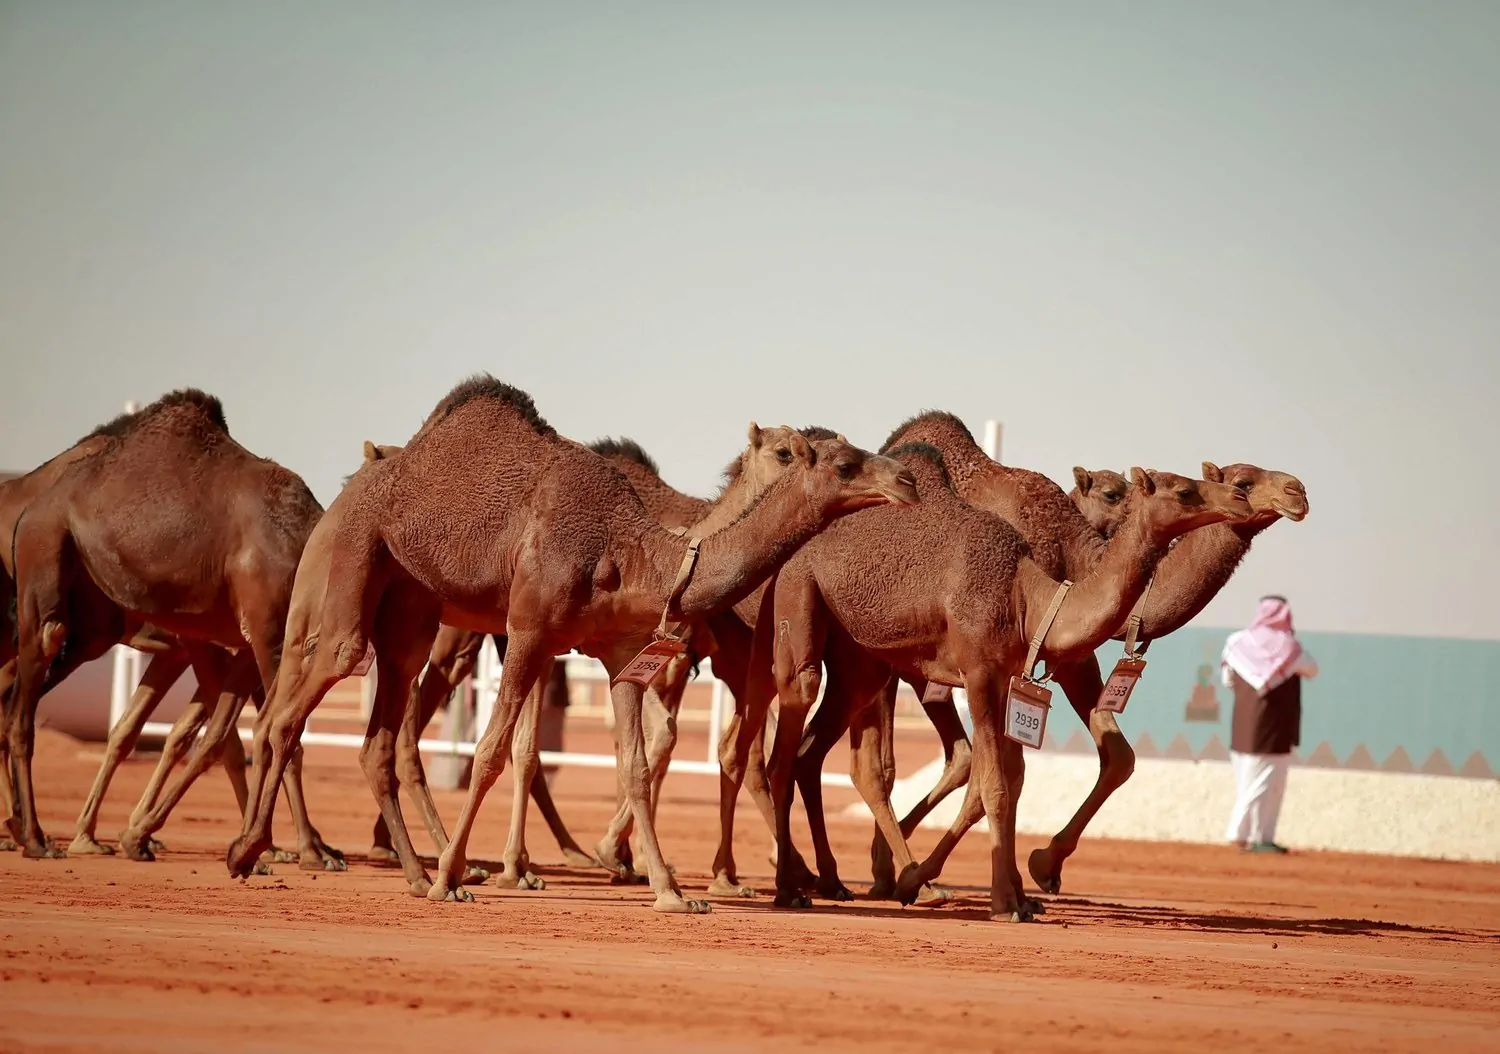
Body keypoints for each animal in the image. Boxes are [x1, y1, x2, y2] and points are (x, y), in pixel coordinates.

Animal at [6, 386, 340, 863]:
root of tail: (31, 506)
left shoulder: (246, 643)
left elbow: (221, 734)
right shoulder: (269, 633)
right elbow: (278, 735)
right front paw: (301, 850)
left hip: (91, 624)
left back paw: (30, 828)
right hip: (44, 549)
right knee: (30, 685)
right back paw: (36, 838)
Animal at [222, 377, 912, 917]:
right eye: (841, 463)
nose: (905, 479)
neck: (637, 552)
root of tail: (348, 484)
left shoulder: (626, 654)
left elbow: (636, 765)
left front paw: (670, 892)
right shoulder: (531, 630)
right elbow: (494, 752)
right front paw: (462, 880)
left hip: (410, 613)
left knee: (378, 741)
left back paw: (408, 872)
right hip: (348, 566)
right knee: (295, 705)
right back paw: (264, 852)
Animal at [768, 443, 1248, 923]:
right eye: (1184, 491)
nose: (1238, 499)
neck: (1023, 598)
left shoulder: (1007, 680)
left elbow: (1009, 781)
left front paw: (1010, 894)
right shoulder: (979, 674)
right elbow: (995, 786)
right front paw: (1004, 903)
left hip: (859, 664)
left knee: (812, 753)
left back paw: (838, 880)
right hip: (799, 594)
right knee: (802, 720)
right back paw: (798, 886)